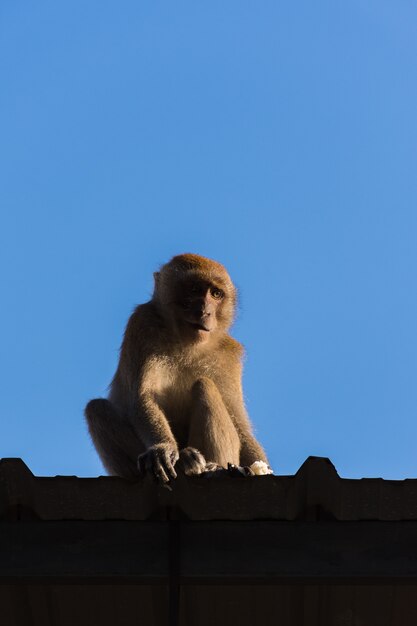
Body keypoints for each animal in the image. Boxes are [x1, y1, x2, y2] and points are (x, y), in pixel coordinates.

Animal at [85, 251, 272, 480]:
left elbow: (240, 425)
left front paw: (260, 467)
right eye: (194, 289)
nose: (205, 312)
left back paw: (208, 466)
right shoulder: (141, 324)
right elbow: (142, 396)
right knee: (96, 409)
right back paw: (186, 460)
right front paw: (162, 448)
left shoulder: (228, 357)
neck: (187, 344)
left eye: (216, 294)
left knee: (205, 385)